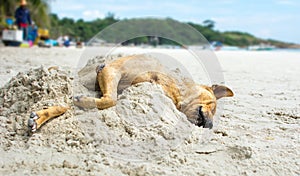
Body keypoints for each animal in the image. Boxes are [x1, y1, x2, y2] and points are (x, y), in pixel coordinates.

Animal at [27, 55, 234, 132]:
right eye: (213, 106)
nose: (210, 126)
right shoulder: (112, 70)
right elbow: (110, 99)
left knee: (64, 105)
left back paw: (38, 117)